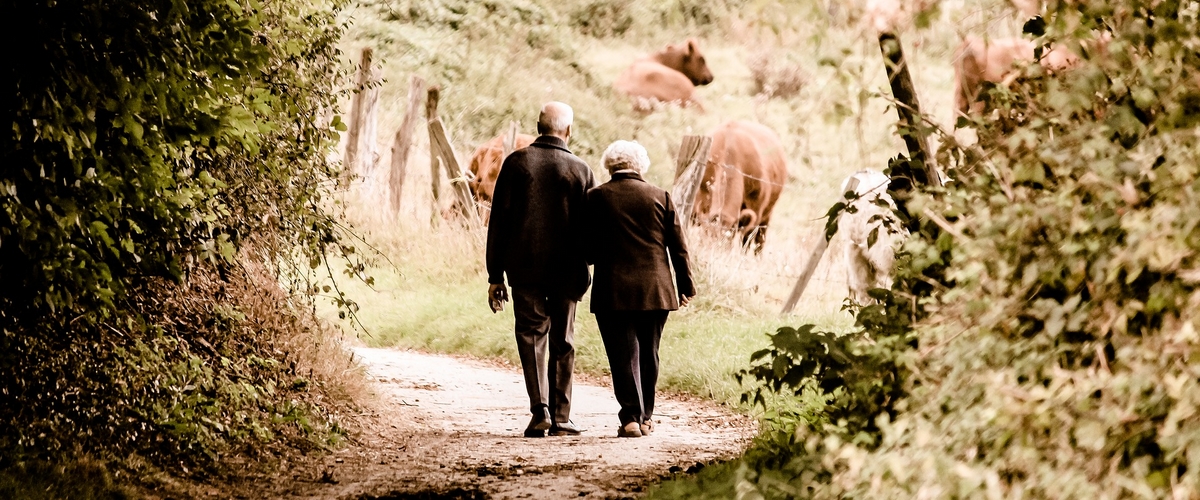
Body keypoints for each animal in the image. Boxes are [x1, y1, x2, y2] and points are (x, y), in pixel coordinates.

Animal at [696, 119, 787, 252]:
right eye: (709, 236)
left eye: (727, 238)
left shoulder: (756, 210)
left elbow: (746, 241)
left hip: (767, 215)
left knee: (759, 241)